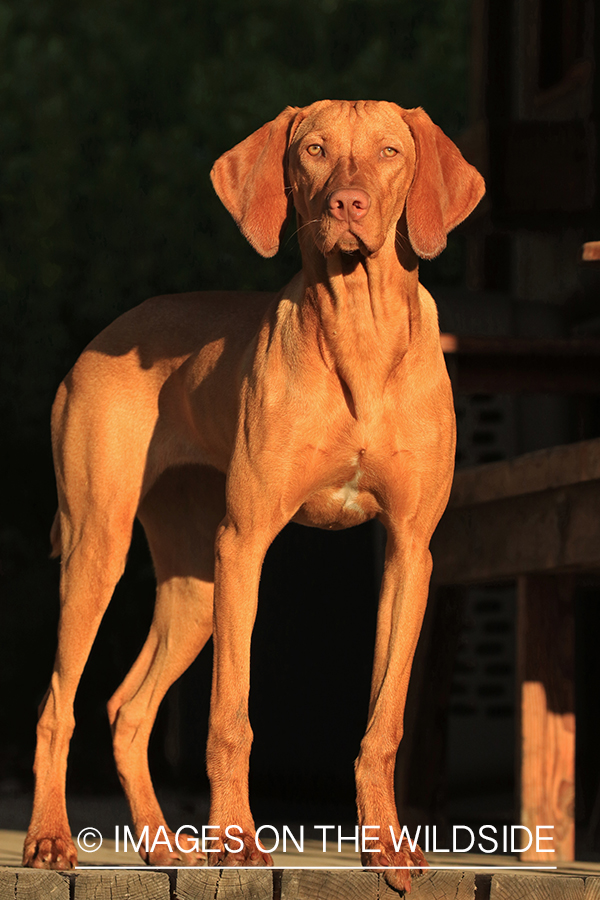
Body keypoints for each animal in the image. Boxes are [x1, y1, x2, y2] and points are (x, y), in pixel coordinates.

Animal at [23, 100, 486, 892]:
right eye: (313, 151)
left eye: (390, 152)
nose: (347, 205)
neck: (358, 331)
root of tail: (105, 333)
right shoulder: (245, 544)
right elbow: (230, 717)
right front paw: (236, 841)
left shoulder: (410, 553)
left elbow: (383, 723)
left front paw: (386, 847)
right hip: (101, 549)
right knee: (60, 705)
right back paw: (52, 839)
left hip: (193, 586)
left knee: (126, 709)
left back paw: (161, 846)